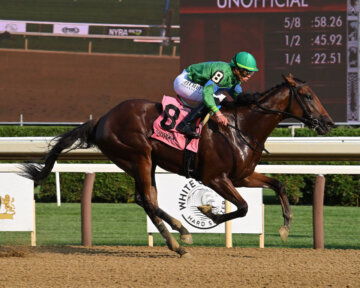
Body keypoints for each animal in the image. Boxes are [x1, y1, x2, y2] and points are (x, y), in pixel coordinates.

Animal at [21, 73, 332, 258]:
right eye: (307, 96)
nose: (328, 123)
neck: (241, 127)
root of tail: (101, 120)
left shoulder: (242, 176)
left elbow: (278, 184)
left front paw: (285, 226)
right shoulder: (215, 178)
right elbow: (242, 207)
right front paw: (207, 212)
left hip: (144, 163)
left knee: (145, 200)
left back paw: (175, 244)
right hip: (139, 157)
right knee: (147, 199)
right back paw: (181, 232)